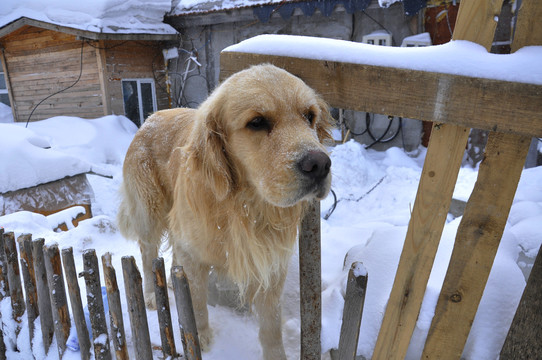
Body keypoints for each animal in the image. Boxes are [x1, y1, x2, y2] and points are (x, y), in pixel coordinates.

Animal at [117, 63, 334, 358]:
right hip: (149, 212)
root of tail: (152, 116)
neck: (243, 206)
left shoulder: (271, 264)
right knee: (147, 251)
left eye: (309, 116)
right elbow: (196, 303)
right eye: (257, 122)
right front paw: (200, 337)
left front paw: (276, 354)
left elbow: (271, 323)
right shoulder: (194, 255)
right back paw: (151, 293)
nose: (320, 164)